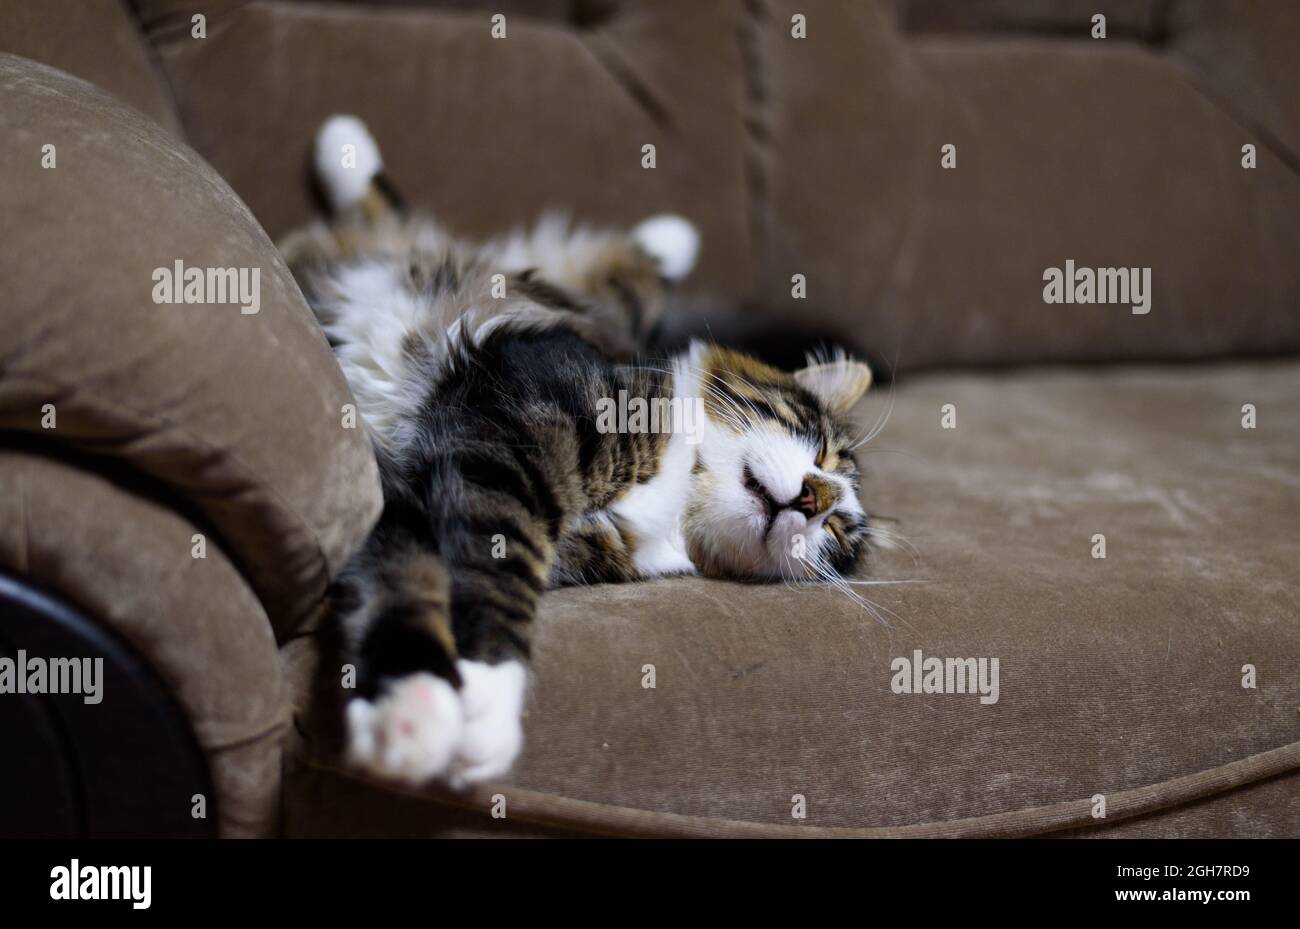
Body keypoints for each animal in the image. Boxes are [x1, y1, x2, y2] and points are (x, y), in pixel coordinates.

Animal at [282, 114, 873, 784]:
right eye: (820, 450)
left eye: (838, 532)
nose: (815, 497)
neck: (673, 499)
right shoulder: (512, 434)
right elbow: (490, 572)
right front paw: (465, 698)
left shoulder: (418, 489)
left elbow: (408, 573)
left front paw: (423, 713)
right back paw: (344, 143)